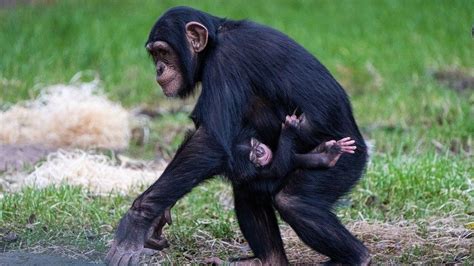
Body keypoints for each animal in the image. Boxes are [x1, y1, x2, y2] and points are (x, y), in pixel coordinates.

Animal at [106, 6, 370, 266]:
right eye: (155, 54)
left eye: (164, 52)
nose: (159, 68)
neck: (215, 41)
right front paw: (159, 214)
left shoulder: (225, 61)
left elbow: (210, 139)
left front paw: (138, 218)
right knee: (248, 187)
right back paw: (270, 259)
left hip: (345, 165)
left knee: (296, 204)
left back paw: (357, 257)